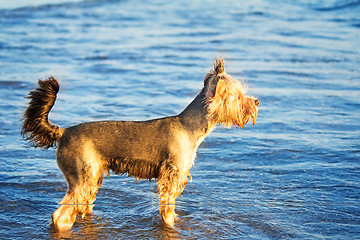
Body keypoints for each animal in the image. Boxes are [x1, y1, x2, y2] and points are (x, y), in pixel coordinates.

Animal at [21, 57, 258, 231]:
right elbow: (167, 212)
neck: (189, 126)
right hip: (81, 178)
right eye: (238, 96)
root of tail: (63, 132)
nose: (256, 101)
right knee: (59, 215)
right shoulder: (171, 178)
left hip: (91, 178)